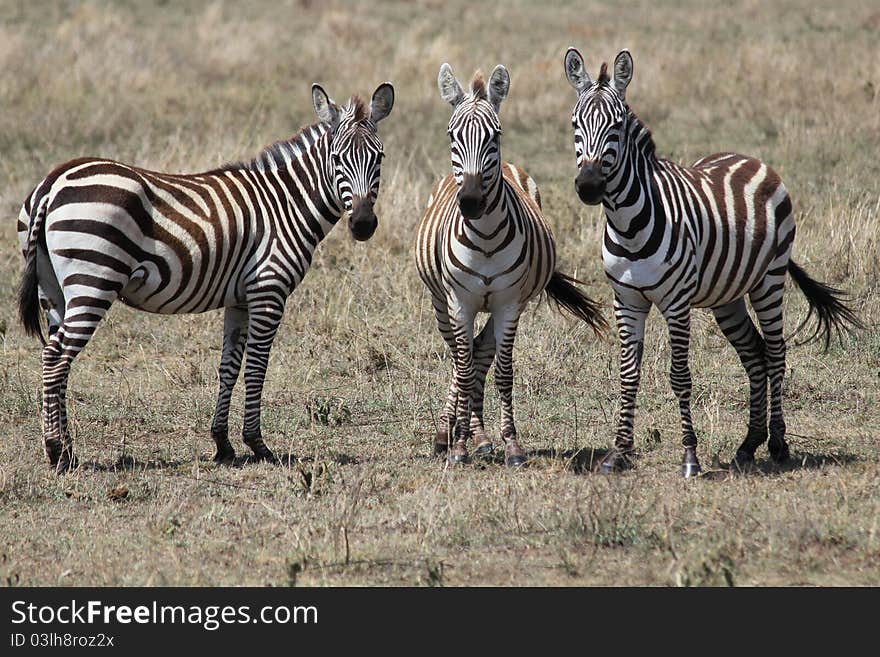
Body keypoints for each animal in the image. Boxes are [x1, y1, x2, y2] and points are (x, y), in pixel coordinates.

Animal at [16, 80, 396, 472]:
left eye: (380, 158)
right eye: (336, 159)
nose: (363, 224)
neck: (285, 205)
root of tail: (53, 181)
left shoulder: (239, 299)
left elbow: (229, 367)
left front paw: (222, 444)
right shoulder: (268, 290)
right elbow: (257, 367)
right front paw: (257, 445)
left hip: (54, 292)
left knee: (52, 356)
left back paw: (67, 450)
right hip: (93, 281)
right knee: (57, 358)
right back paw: (57, 453)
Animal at [416, 62, 608, 466]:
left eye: (495, 135)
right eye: (452, 136)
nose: (471, 201)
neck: (486, 238)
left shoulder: (507, 303)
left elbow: (503, 371)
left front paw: (510, 445)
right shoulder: (460, 302)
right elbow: (462, 368)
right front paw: (458, 446)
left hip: (509, 302)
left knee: (479, 353)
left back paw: (480, 437)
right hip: (440, 302)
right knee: (459, 358)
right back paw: (446, 433)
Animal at [564, 47, 860, 476]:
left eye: (616, 127)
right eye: (575, 124)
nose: (588, 187)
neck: (628, 224)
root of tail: (750, 158)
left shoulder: (676, 303)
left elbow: (680, 376)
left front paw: (690, 456)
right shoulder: (627, 300)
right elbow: (628, 374)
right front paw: (618, 453)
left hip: (769, 280)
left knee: (775, 352)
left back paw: (778, 444)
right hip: (728, 297)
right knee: (754, 353)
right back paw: (749, 444)